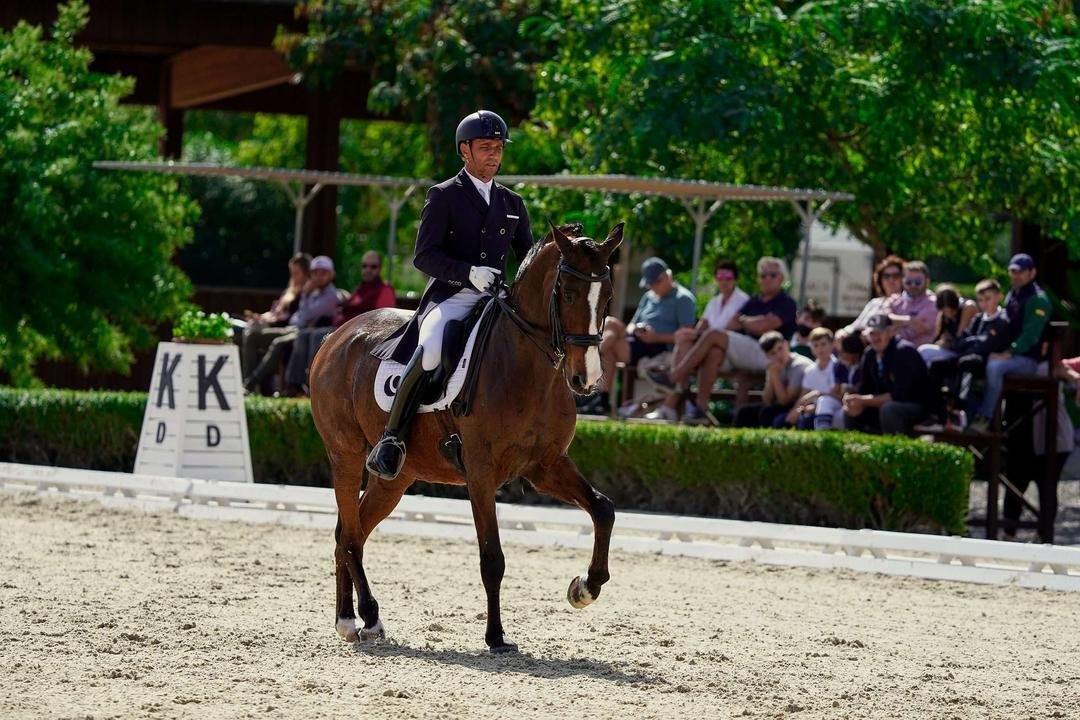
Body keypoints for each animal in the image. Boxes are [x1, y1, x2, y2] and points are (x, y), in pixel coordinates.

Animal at [308, 222, 626, 656]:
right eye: (569, 293)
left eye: (608, 296)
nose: (586, 379)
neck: (527, 366)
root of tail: (335, 336)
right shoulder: (480, 473)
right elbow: (492, 558)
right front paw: (496, 636)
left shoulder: (546, 466)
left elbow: (603, 509)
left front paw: (584, 588)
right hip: (346, 454)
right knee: (352, 535)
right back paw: (367, 618)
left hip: (396, 478)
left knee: (348, 531)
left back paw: (348, 620)